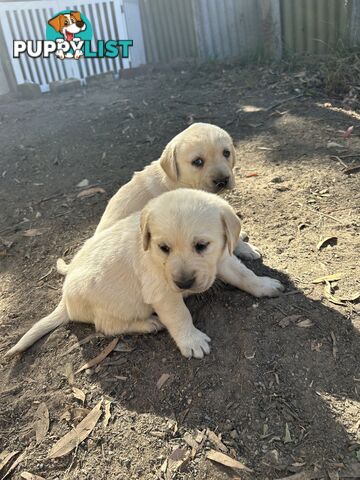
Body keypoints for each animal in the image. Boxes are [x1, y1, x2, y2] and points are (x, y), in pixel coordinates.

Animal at [6, 189, 284, 358]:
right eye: (164, 248)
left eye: (202, 245)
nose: (184, 283)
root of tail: (65, 302)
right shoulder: (163, 293)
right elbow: (180, 316)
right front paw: (192, 341)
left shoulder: (222, 258)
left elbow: (244, 274)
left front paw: (265, 285)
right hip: (117, 306)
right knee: (107, 326)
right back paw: (149, 323)